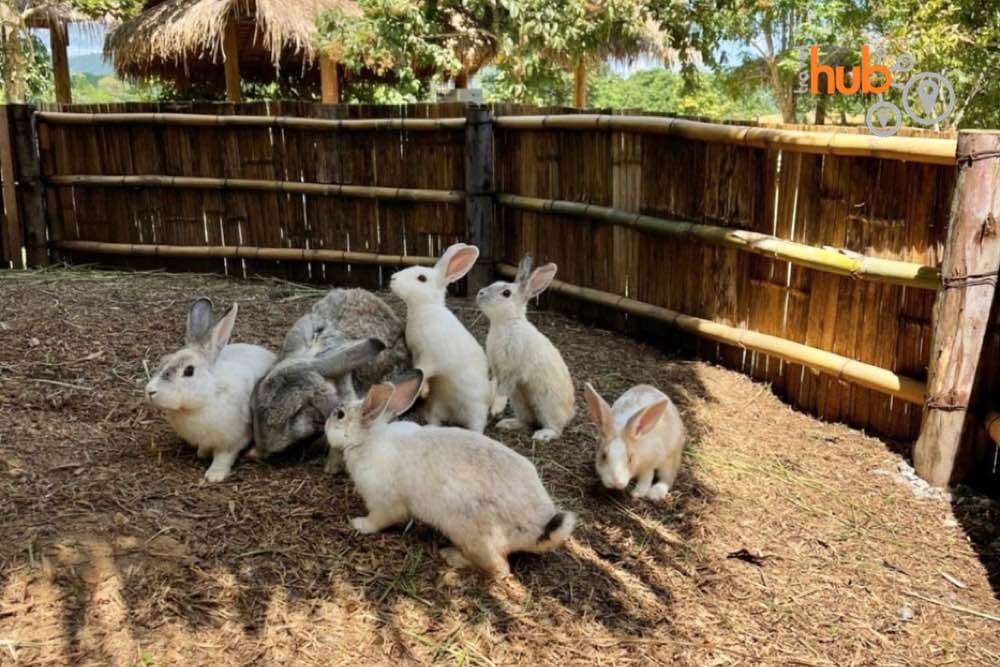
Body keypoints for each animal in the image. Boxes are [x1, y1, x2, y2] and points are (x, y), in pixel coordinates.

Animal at [143, 300, 276, 482]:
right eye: (164, 360)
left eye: (189, 371)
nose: (150, 391)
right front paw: (202, 454)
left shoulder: (231, 441)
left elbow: (223, 457)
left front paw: (214, 475)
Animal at [326, 370, 576, 580]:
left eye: (340, 414)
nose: (326, 423)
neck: (367, 439)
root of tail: (539, 527)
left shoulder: (385, 504)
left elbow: (379, 520)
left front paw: (358, 524)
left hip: (472, 534)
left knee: (499, 569)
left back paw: (451, 556)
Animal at [388, 245, 490, 434]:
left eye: (422, 278)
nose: (393, 278)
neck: (425, 309)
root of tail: (455, 416)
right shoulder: (416, 354)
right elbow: (420, 373)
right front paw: (425, 391)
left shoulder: (430, 359)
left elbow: (423, 371)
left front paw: (422, 391)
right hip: (437, 407)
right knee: (436, 420)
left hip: (476, 410)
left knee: (477, 426)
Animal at [478, 258, 576, 444]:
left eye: (506, 293)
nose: (480, 293)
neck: (506, 322)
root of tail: (570, 414)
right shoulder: (496, 369)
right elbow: (495, 384)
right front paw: (491, 406)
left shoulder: (512, 370)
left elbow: (503, 389)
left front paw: (495, 409)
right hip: (519, 401)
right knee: (526, 421)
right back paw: (507, 423)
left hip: (547, 404)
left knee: (555, 428)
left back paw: (543, 435)